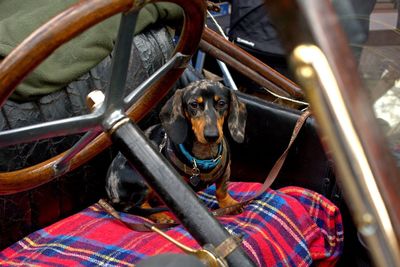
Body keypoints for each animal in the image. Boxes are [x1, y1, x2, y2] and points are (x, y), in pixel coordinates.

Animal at [104, 80, 247, 224]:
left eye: (221, 103)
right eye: (194, 104)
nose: (211, 136)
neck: (204, 156)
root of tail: (111, 194)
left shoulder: (226, 170)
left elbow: (221, 190)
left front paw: (229, 204)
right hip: (142, 178)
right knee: (142, 205)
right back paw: (160, 216)